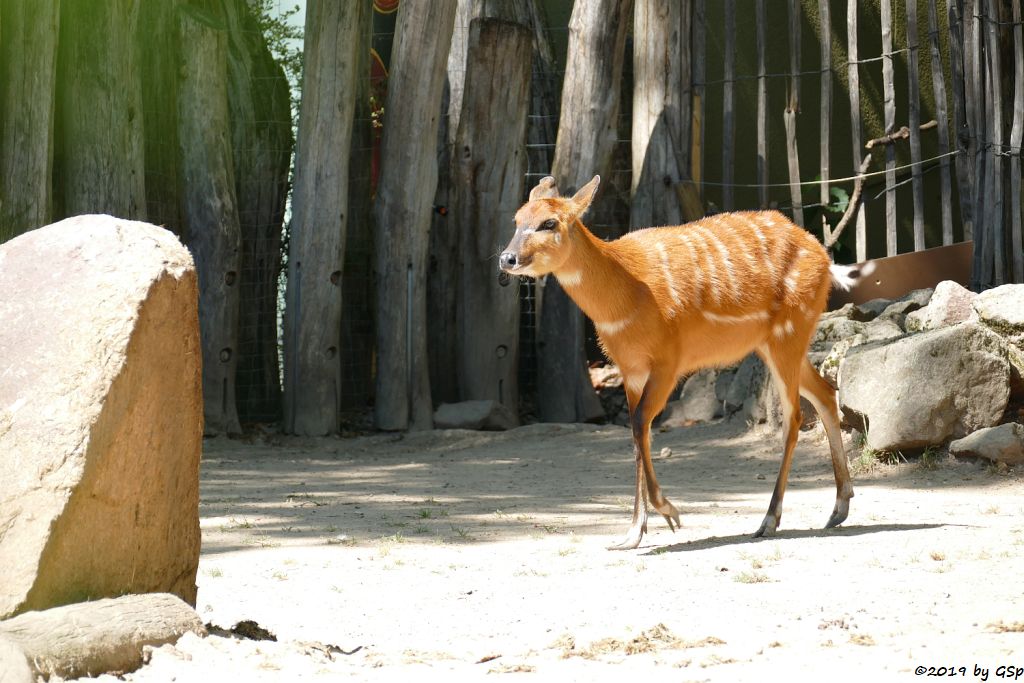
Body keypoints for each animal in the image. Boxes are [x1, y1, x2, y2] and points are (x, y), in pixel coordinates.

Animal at [499, 175, 860, 548]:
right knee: (825, 392)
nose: (507, 258)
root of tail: (824, 257)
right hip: (775, 343)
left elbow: (641, 422)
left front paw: (670, 514)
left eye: (549, 223)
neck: (626, 298)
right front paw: (632, 534)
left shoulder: (668, 362)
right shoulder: (630, 368)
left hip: (788, 333)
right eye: (517, 219)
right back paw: (838, 509)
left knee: (794, 416)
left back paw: (769, 521)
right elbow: (636, 432)